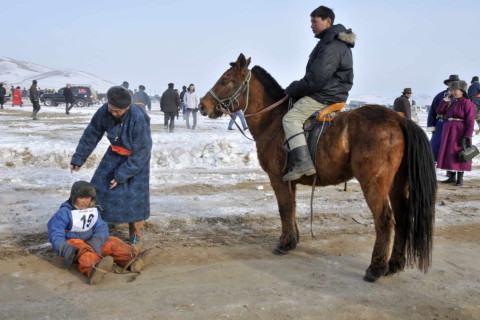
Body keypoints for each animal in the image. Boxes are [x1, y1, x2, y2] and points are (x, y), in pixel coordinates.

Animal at [197, 54, 436, 282]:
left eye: (225, 80)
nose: (202, 105)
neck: (273, 121)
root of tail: (398, 120)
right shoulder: (289, 181)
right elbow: (291, 209)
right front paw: (292, 241)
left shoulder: (277, 178)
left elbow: (284, 209)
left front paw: (283, 244)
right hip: (397, 184)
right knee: (403, 217)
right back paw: (394, 264)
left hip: (373, 183)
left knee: (385, 220)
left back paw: (375, 269)